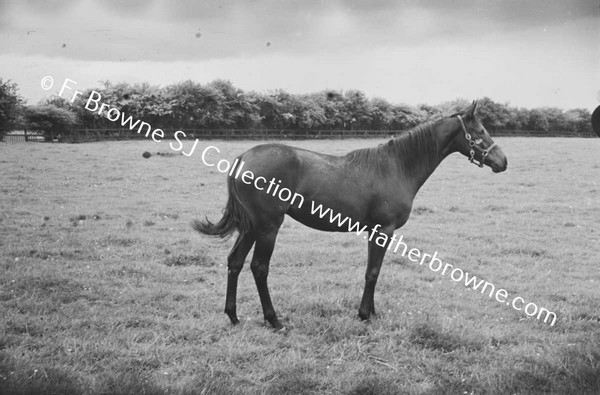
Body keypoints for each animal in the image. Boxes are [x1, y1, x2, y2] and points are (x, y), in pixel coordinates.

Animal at [196, 100, 506, 330]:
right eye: (479, 131)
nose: (502, 161)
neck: (396, 167)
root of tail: (243, 159)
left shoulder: (375, 232)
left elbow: (373, 272)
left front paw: (371, 312)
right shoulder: (383, 230)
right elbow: (373, 272)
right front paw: (365, 314)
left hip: (251, 226)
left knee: (235, 262)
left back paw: (234, 316)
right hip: (268, 226)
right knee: (259, 268)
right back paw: (274, 320)